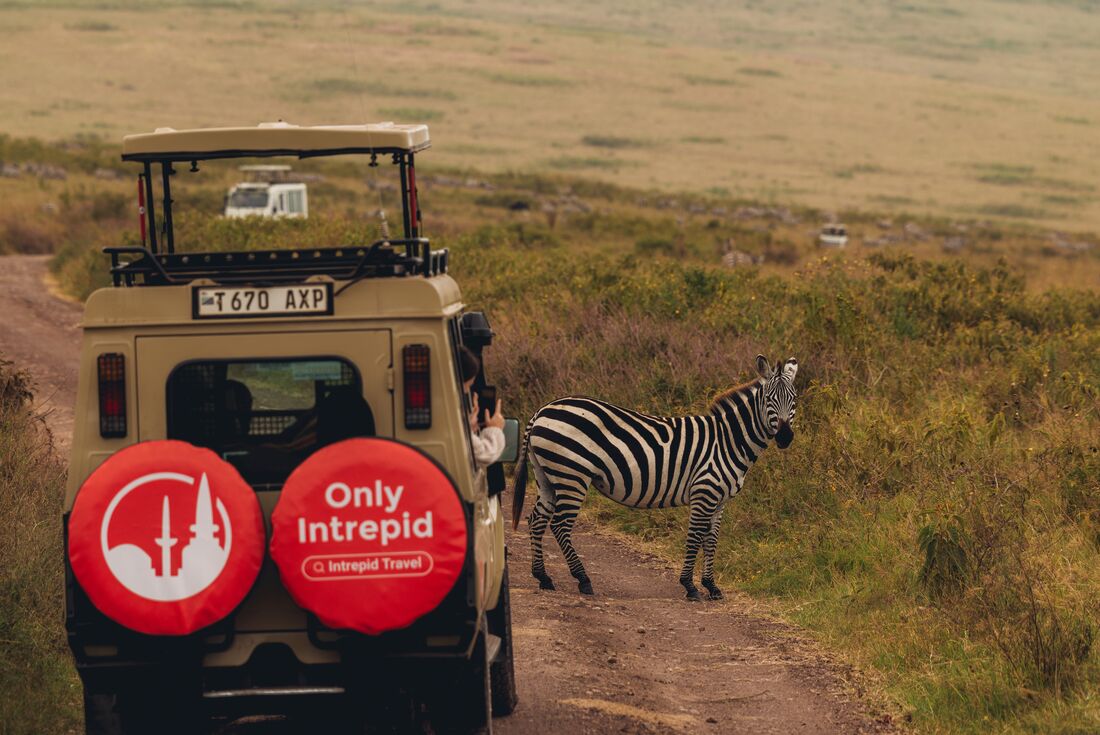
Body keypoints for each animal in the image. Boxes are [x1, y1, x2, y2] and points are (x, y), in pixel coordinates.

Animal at [511, 355, 799, 601]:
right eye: (769, 399)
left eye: (794, 400)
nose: (785, 438)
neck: (728, 441)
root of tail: (542, 410)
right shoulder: (704, 491)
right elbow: (695, 536)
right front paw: (690, 586)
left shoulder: (720, 500)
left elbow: (711, 539)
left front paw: (712, 586)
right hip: (572, 475)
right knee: (560, 525)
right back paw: (583, 579)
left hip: (547, 476)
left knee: (536, 520)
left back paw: (544, 577)